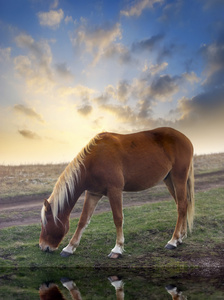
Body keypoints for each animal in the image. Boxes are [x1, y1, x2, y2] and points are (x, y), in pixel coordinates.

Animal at [39, 126, 194, 258]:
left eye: (46, 221)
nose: (43, 247)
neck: (94, 160)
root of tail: (186, 139)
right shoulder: (93, 193)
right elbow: (83, 220)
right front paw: (69, 248)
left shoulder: (114, 190)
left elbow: (118, 218)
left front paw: (117, 249)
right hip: (169, 180)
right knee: (182, 204)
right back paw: (181, 237)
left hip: (178, 177)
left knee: (181, 206)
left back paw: (173, 241)